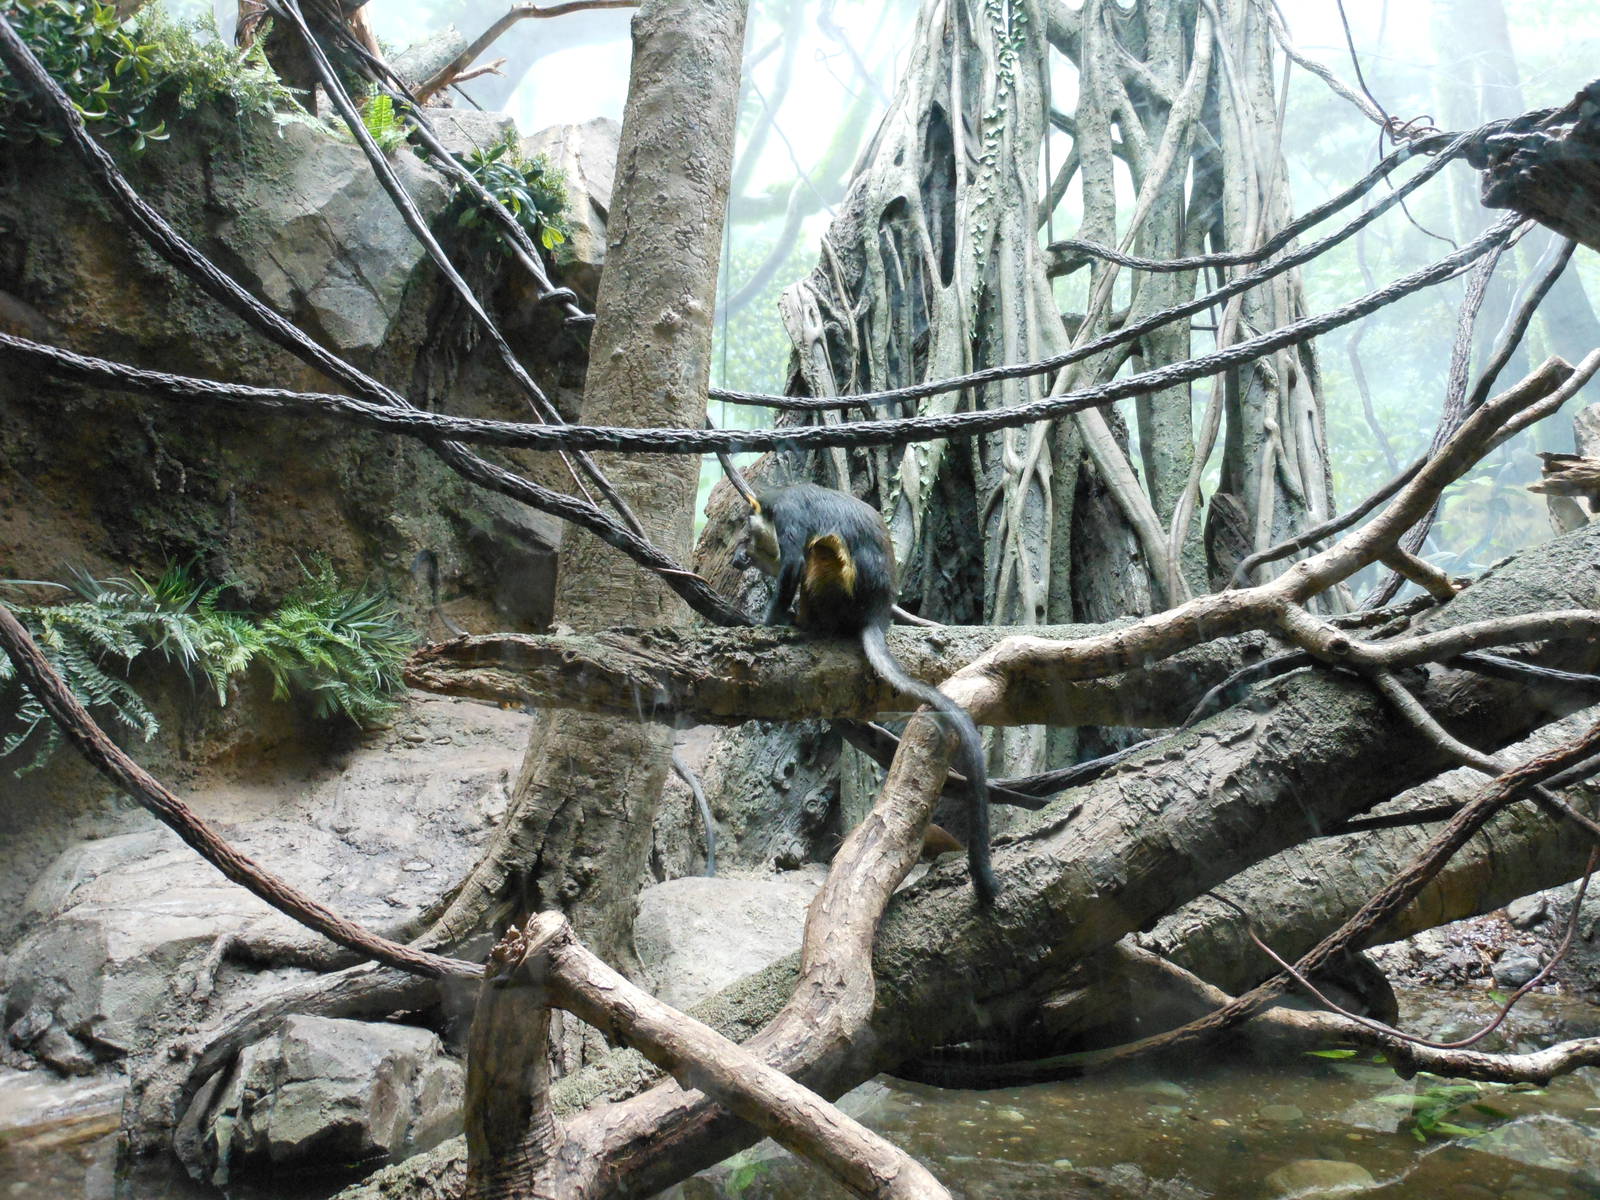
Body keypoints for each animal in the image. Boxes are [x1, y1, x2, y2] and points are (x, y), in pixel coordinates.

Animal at [744, 482, 999, 905]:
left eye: (747, 536)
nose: (739, 556)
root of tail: (876, 612)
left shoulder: (790, 517)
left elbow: (793, 563)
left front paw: (768, 621)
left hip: (838, 594)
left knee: (819, 554)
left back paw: (806, 625)